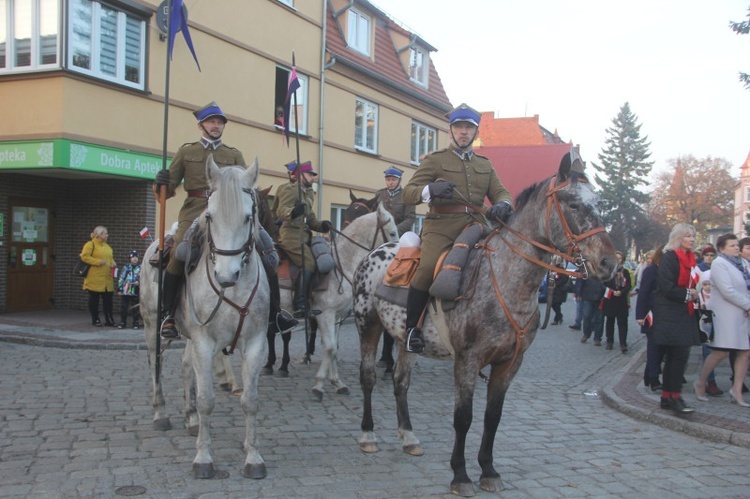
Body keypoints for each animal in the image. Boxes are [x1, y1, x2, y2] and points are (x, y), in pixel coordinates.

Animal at [282, 201, 400, 400]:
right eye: (392, 233)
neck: (343, 263)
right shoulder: (324, 314)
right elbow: (330, 348)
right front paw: (319, 385)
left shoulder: (336, 316)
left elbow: (334, 350)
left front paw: (336, 382)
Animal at [352, 154, 616, 498]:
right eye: (572, 203)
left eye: (599, 203)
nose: (610, 263)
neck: (505, 280)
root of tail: (373, 253)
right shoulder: (467, 359)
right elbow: (464, 418)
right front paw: (460, 474)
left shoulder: (509, 363)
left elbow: (493, 417)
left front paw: (488, 470)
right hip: (367, 327)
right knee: (368, 378)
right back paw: (368, 435)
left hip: (403, 339)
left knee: (401, 383)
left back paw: (408, 437)